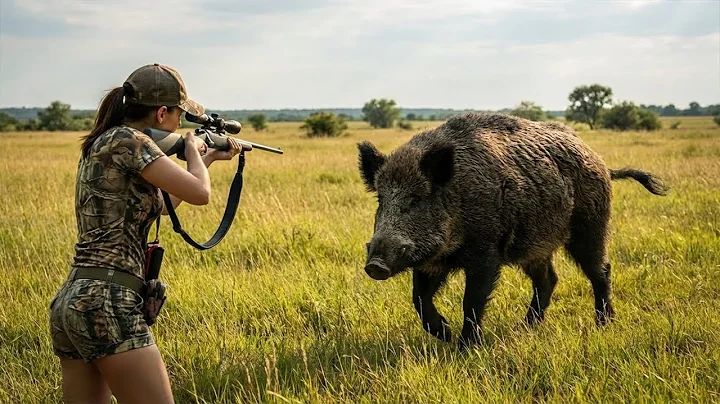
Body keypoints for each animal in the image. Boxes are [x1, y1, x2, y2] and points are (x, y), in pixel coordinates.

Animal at [357, 112, 669, 350]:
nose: (375, 265)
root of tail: (601, 162)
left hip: (591, 226)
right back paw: (526, 327)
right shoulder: (431, 262)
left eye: (415, 199)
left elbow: (472, 300)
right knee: (548, 279)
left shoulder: (486, 251)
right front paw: (444, 334)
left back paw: (603, 324)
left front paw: (465, 348)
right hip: (535, 247)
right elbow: (419, 299)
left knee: (600, 271)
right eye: (381, 200)